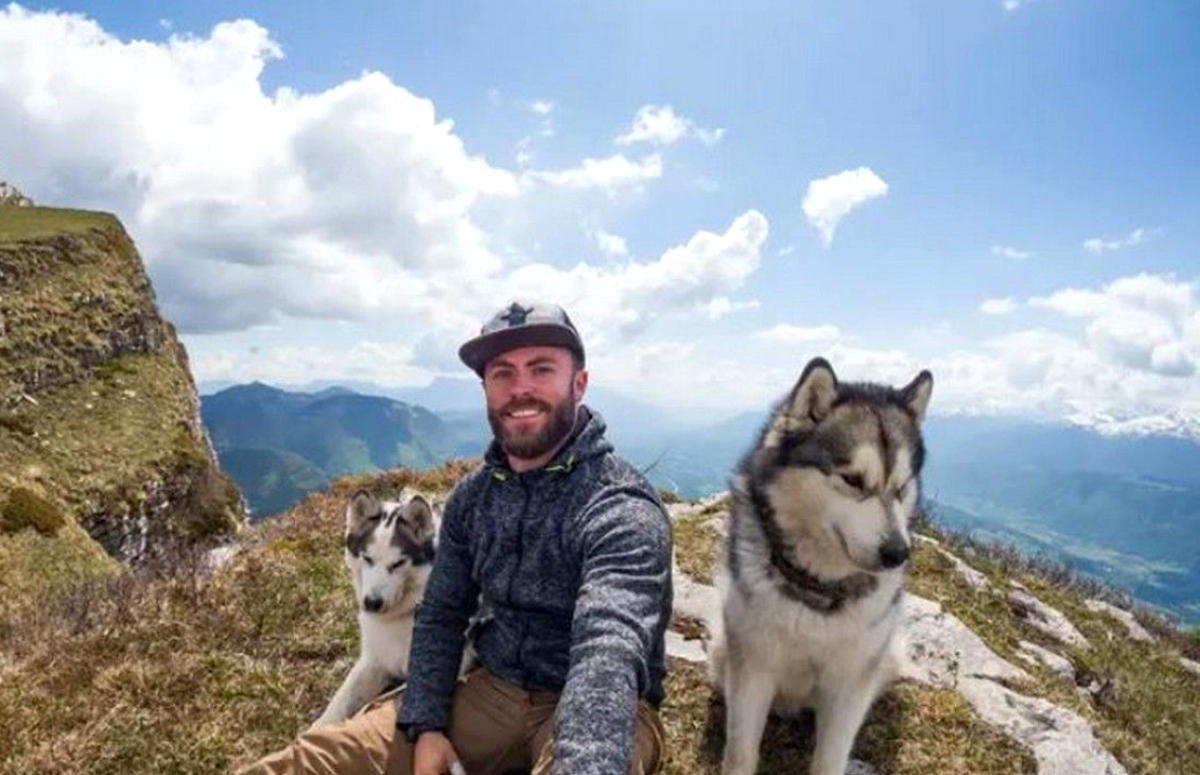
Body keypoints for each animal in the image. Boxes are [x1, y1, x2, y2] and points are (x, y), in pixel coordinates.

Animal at [312, 489, 439, 734]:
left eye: (398, 563)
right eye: (367, 558)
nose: (372, 603)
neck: (400, 617)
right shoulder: (373, 662)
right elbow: (339, 703)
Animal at [705, 357, 931, 775]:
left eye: (902, 487)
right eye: (853, 480)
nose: (897, 553)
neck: (818, 587)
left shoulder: (851, 683)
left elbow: (830, 758)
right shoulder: (753, 668)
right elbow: (741, 752)